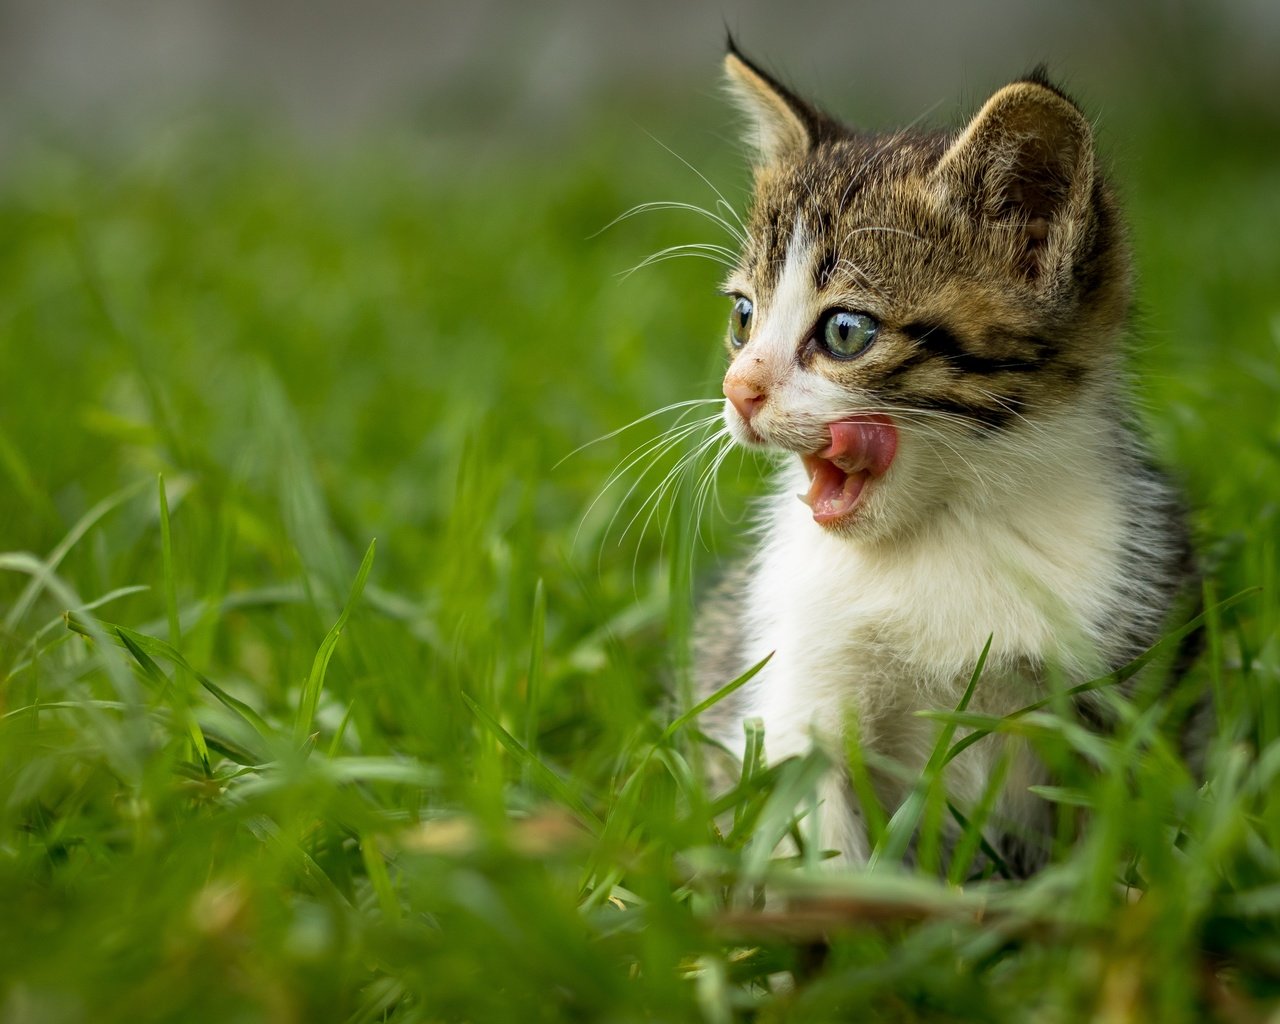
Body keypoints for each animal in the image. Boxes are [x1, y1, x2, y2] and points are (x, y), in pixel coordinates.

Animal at [696, 48, 1192, 875]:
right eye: (743, 317)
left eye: (846, 332)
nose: (739, 391)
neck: (940, 529)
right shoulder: (791, 683)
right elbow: (809, 817)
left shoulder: (1114, 681)